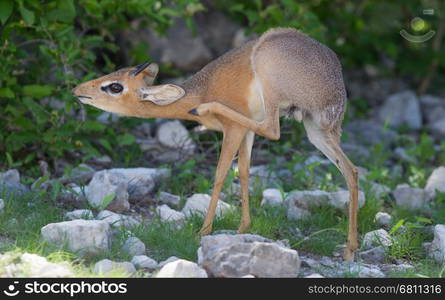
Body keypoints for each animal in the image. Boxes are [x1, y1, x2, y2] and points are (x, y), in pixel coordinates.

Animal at [72, 27, 358, 258]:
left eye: (115, 86)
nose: (77, 90)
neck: (200, 90)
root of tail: (335, 88)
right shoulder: (246, 134)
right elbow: (244, 171)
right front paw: (242, 228)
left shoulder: (234, 129)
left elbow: (221, 173)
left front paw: (204, 230)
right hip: (317, 131)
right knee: (351, 170)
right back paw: (350, 249)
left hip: (276, 94)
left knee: (273, 130)